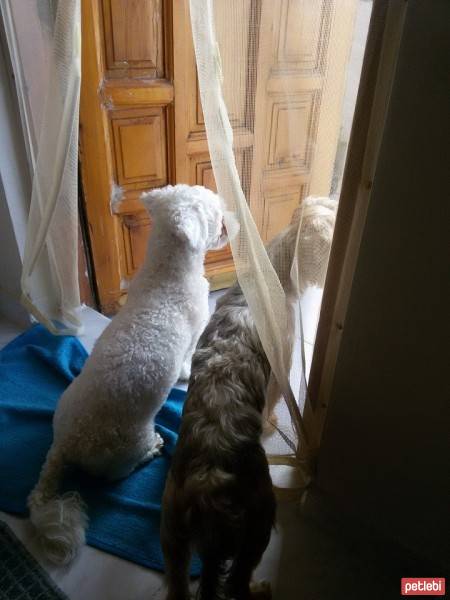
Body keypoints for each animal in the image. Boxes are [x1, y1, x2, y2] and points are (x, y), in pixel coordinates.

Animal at [28, 184, 232, 568]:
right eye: (213, 212)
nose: (227, 227)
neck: (167, 273)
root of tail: (65, 444)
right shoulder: (193, 335)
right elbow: (187, 361)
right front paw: (185, 376)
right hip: (127, 443)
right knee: (121, 471)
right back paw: (152, 451)